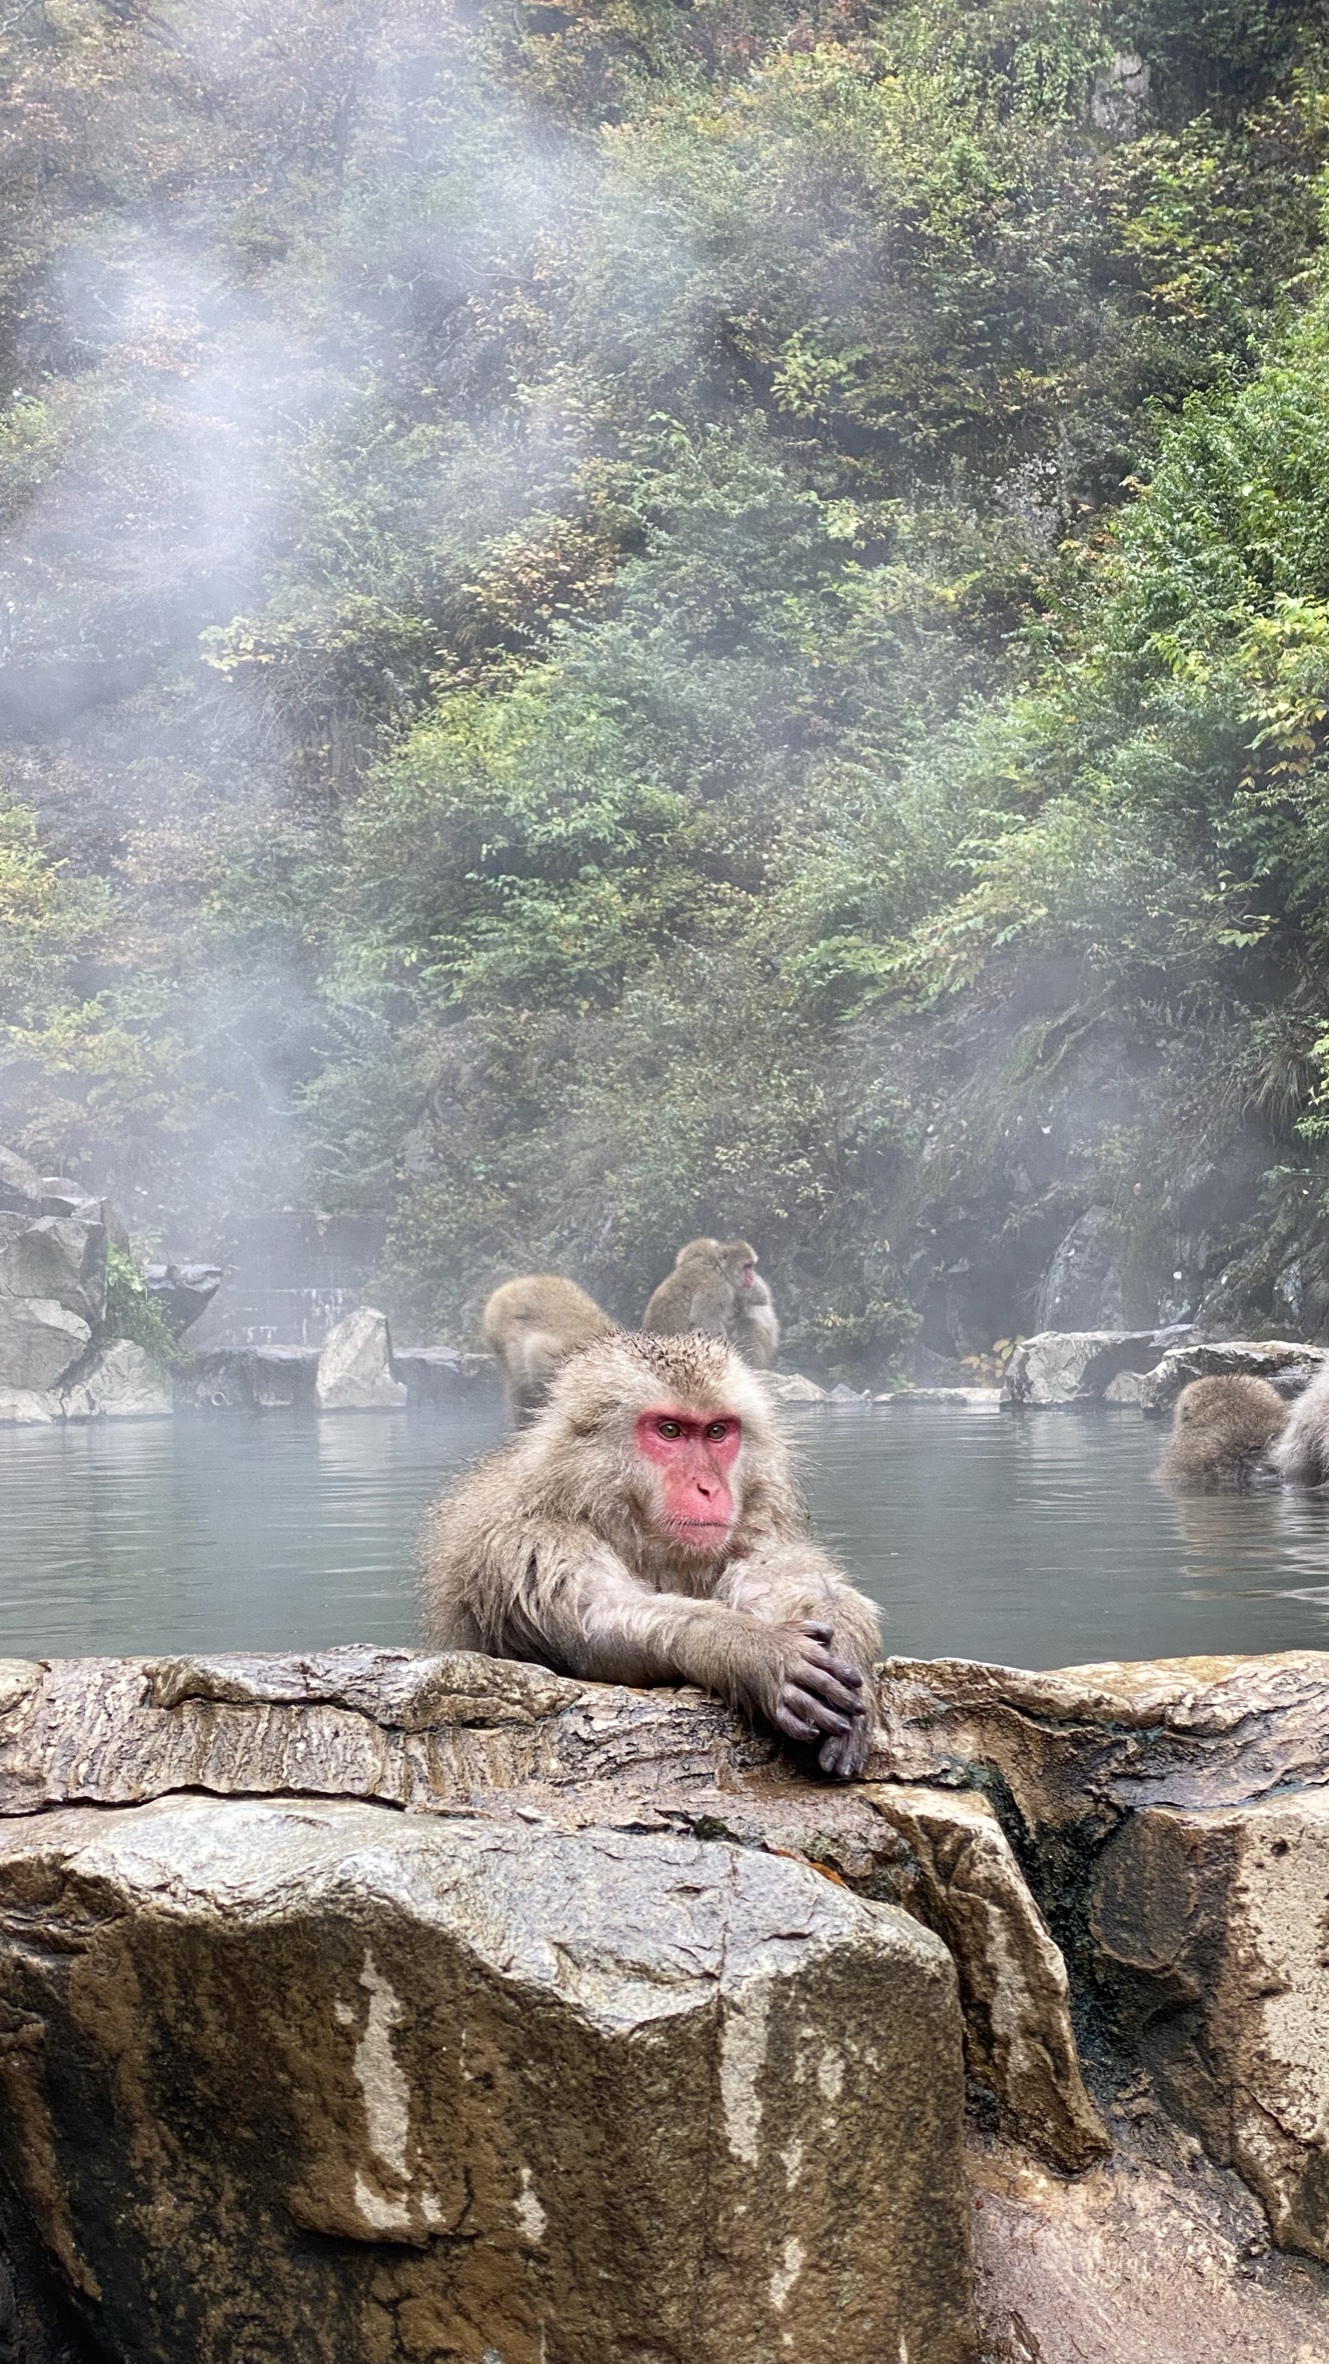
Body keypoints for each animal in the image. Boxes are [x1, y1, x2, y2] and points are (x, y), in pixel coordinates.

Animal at [422, 1328, 879, 1777]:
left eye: (717, 1432)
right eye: (670, 1431)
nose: (708, 1488)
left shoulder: (756, 1521)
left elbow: (784, 1578)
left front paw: (843, 1643)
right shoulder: (529, 1541)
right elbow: (594, 1620)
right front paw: (750, 1649)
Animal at [643, 1238, 780, 1369]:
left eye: (750, 1267)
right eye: (746, 1267)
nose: (751, 1277)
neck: (719, 1267)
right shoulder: (716, 1285)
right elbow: (704, 1321)